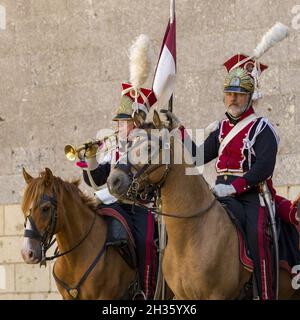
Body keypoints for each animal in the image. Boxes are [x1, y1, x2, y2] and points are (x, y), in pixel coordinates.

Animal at [106, 110, 298, 300]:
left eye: (149, 148)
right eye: (128, 144)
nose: (113, 181)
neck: (189, 237)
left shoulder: (218, 295)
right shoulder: (181, 296)